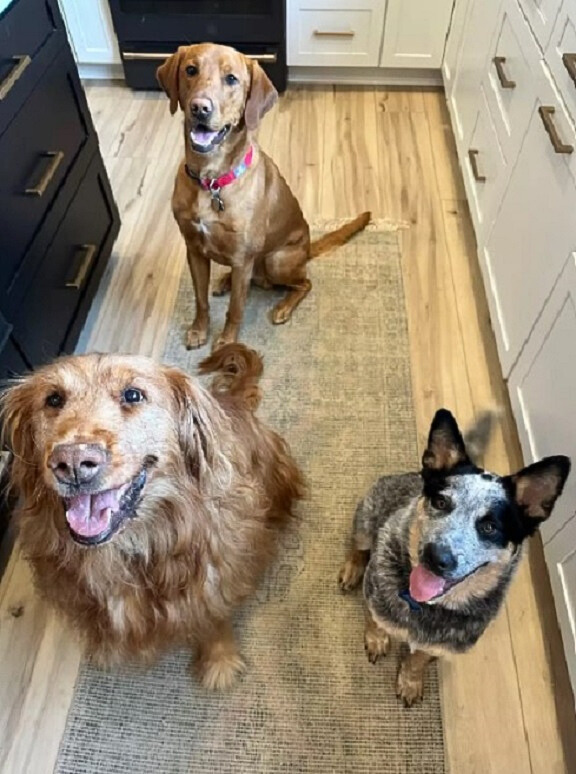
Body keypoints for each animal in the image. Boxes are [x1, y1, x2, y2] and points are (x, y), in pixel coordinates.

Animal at [0, 346, 304, 692]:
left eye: (133, 394)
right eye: (53, 399)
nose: (73, 462)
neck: (133, 548)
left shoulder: (216, 580)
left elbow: (214, 621)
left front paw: (220, 662)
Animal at [340, 412, 568, 708]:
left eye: (490, 527)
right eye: (440, 502)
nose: (436, 557)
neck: (425, 607)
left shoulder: (442, 647)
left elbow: (418, 659)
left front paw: (410, 682)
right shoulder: (375, 598)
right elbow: (376, 621)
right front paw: (378, 640)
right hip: (366, 520)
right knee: (358, 547)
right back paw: (351, 569)